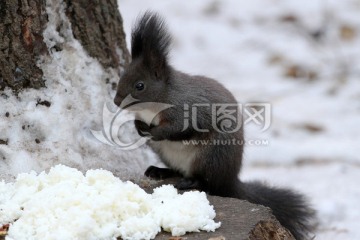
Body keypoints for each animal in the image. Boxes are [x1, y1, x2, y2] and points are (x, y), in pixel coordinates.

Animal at [114, 12, 316, 239]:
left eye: (140, 85)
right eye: (122, 77)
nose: (116, 101)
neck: (160, 99)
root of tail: (231, 179)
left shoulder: (188, 110)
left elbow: (179, 128)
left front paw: (156, 132)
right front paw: (139, 127)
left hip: (211, 156)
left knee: (208, 182)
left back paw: (191, 181)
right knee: (179, 171)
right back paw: (160, 171)